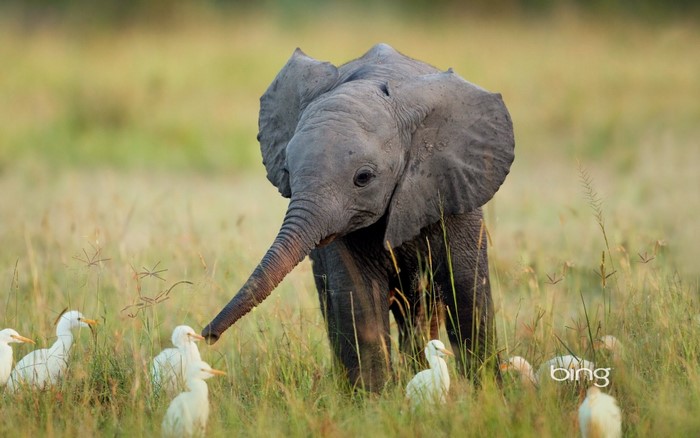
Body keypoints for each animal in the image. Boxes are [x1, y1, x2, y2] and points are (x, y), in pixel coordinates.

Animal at [202, 43, 515, 392]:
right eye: (287, 172)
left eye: (363, 178)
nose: (207, 336)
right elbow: (358, 298)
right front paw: (373, 400)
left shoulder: (453, 188)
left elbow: (467, 291)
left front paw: (489, 393)